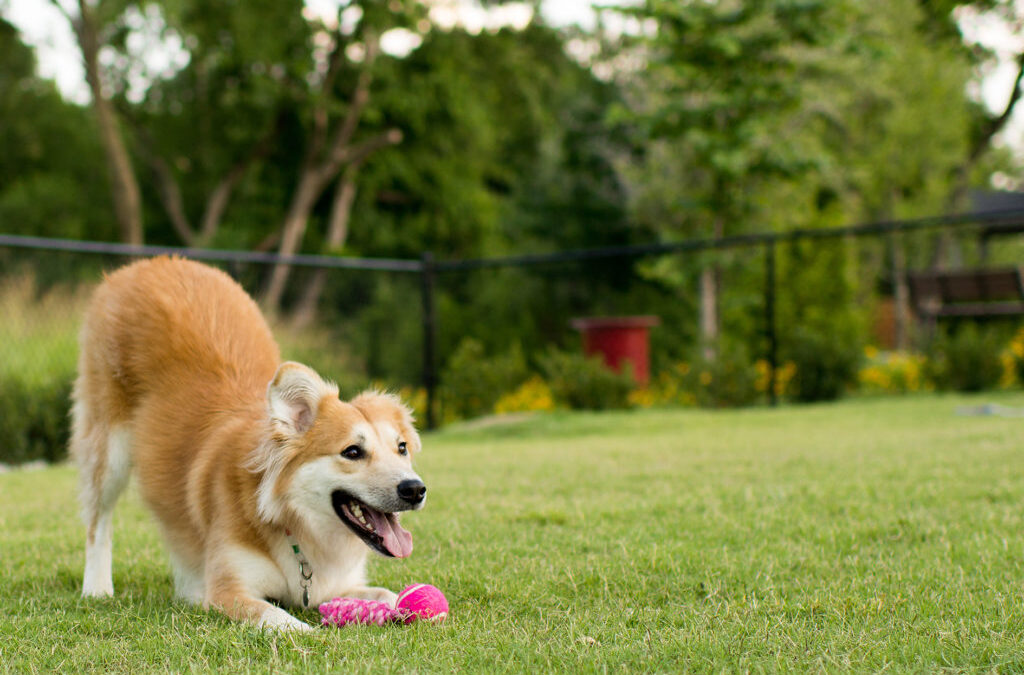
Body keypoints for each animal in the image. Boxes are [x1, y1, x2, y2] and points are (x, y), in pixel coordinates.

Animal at [71, 256, 423, 630]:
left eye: (401, 448)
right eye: (352, 452)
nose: (415, 489)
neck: (293, 522)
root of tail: (152, 263)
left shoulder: (337, 585)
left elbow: (387, 593)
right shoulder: (228, 591)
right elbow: (277, 616)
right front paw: (307, 631)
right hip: (108, 449)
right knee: (98, 522)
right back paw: (97, 587)